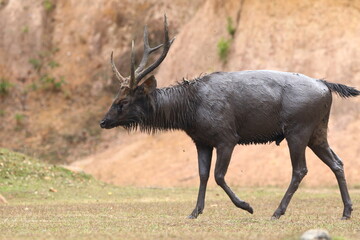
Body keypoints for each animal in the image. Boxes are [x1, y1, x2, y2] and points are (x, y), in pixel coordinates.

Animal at [99, 15, 360, 220]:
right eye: (116, 98)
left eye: (123, 102)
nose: (103, 121)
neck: (190, 112)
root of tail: (325, 85)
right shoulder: (201, 141)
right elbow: (203, 174)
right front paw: (194, 212)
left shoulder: (227, 137)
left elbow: (218, 175)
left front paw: (247, 206)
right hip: (318, 130)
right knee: (337, 162)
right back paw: (346, 211)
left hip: (298, 129)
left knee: (300, 169)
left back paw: (277, 211)